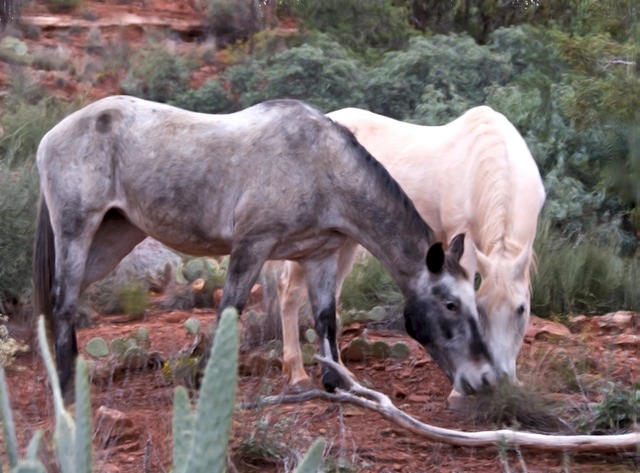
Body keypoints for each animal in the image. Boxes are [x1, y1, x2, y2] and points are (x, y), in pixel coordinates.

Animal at [32, 97, 498, 398]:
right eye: (451, 304)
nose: (484, 378)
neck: (320, 167)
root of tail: (52, 135)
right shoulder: (252, 246)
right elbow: (229, 310)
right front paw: (204, 381)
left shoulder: (320, 256)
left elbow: (326, 318)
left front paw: (333, 381)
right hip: (78, 231)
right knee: (63, 301)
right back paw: (67, 389)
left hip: (113, 239)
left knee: (67, 300)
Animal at [282, 106, 544, 390]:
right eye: (480, 309)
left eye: (521, 309)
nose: (502, 379)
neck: (490, 158)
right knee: (290, 295)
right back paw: (297, 373)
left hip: (346, 241)